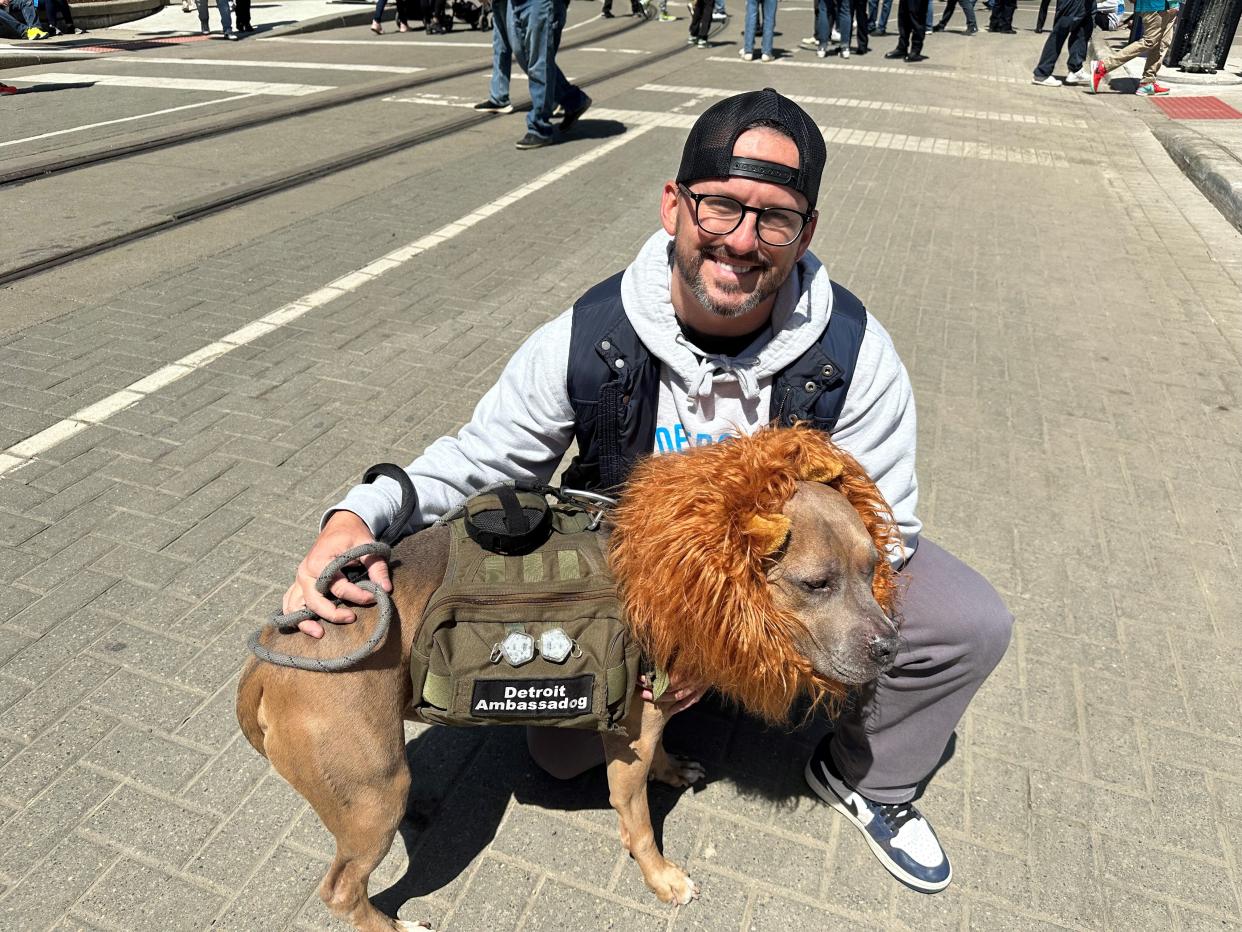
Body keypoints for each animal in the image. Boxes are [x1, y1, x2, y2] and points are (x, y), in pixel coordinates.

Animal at [237, 429, 904, 932]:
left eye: (875, 567)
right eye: (816, 584)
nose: (891, 645)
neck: (682, 579)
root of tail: (267, 658)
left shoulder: (650, 720)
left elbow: (662, 753)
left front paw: (672, 770)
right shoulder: (629, 741)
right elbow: (638, 822)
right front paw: (661, 878)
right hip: (373, 793)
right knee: (342, 889)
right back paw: (392, 926)